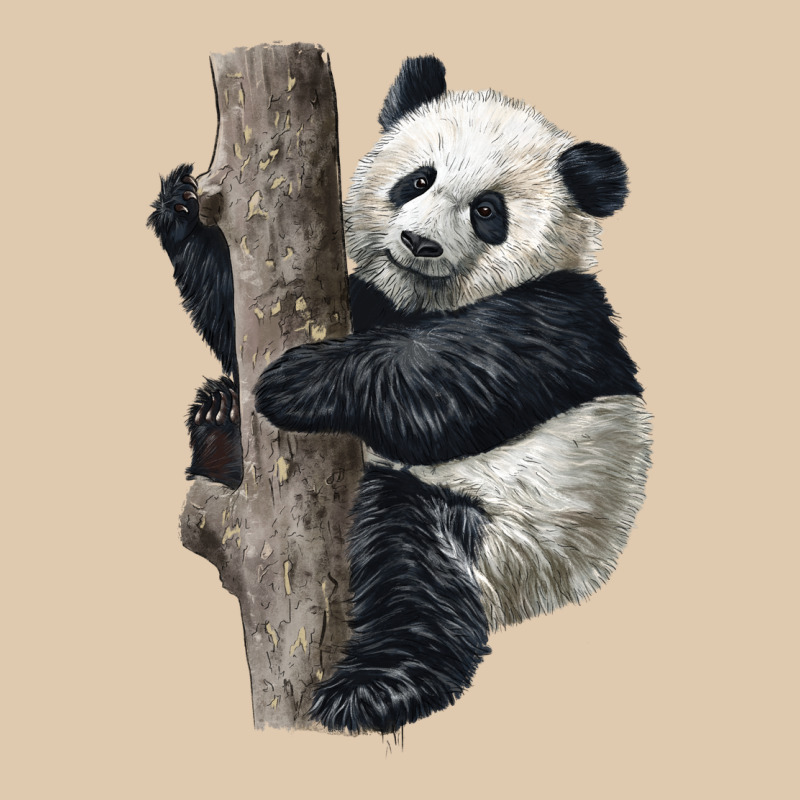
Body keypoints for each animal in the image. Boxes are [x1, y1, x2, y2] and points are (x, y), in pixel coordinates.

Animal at [149, 55, 651, 735]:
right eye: (418, 180)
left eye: (487, 211)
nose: (420, 244)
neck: (429, 299)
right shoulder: (370, 299)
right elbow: (237, 320)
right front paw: (180, 208)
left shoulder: (559, 318)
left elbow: (443, 388)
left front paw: (296, 381)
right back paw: (217, 426)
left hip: (508, 534)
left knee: (410, 567)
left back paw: (371, 692)